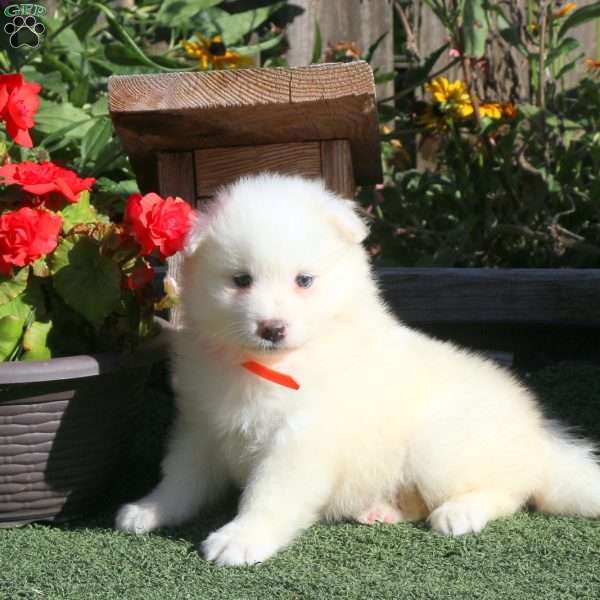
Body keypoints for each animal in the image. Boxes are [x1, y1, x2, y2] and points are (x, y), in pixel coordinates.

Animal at [116, 175, 600, 568]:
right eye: (241, 280)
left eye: (304, 280)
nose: (272, 328)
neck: (269, 365)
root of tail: (539, 436)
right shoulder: (201, 426)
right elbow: (180, 477)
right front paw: (148, 509)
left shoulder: (299, 439)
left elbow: (267, 494)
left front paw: (241, 538)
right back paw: (383, 508)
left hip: (440, 443)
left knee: (511, 489)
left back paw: (459, 512)